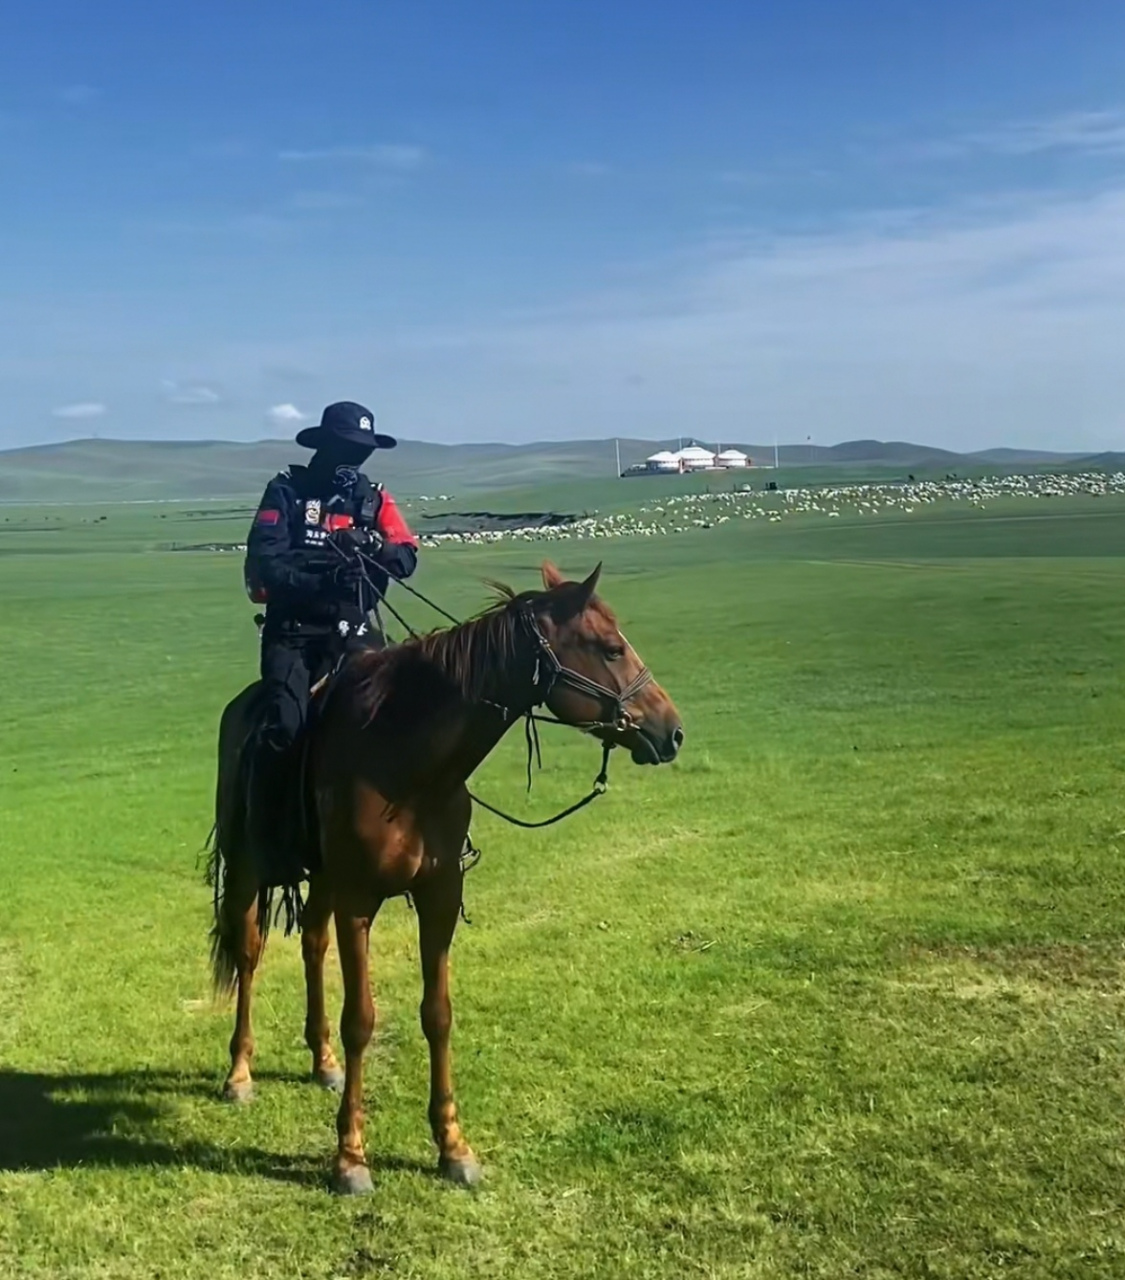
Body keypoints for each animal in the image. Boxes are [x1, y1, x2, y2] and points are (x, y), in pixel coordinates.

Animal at [209, 560, 686, 1187]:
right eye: (610, 648)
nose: (671, 730)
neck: (405, 760)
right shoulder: (360, 899)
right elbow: (361, 1020)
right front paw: (350, 1158)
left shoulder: (437, 894)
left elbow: (437, 1015)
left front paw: (453, 1147)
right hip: (249, 866)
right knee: (248, 953)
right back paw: (239, 1073)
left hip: (325, 881)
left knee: (312, 942)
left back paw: (323, 1060)